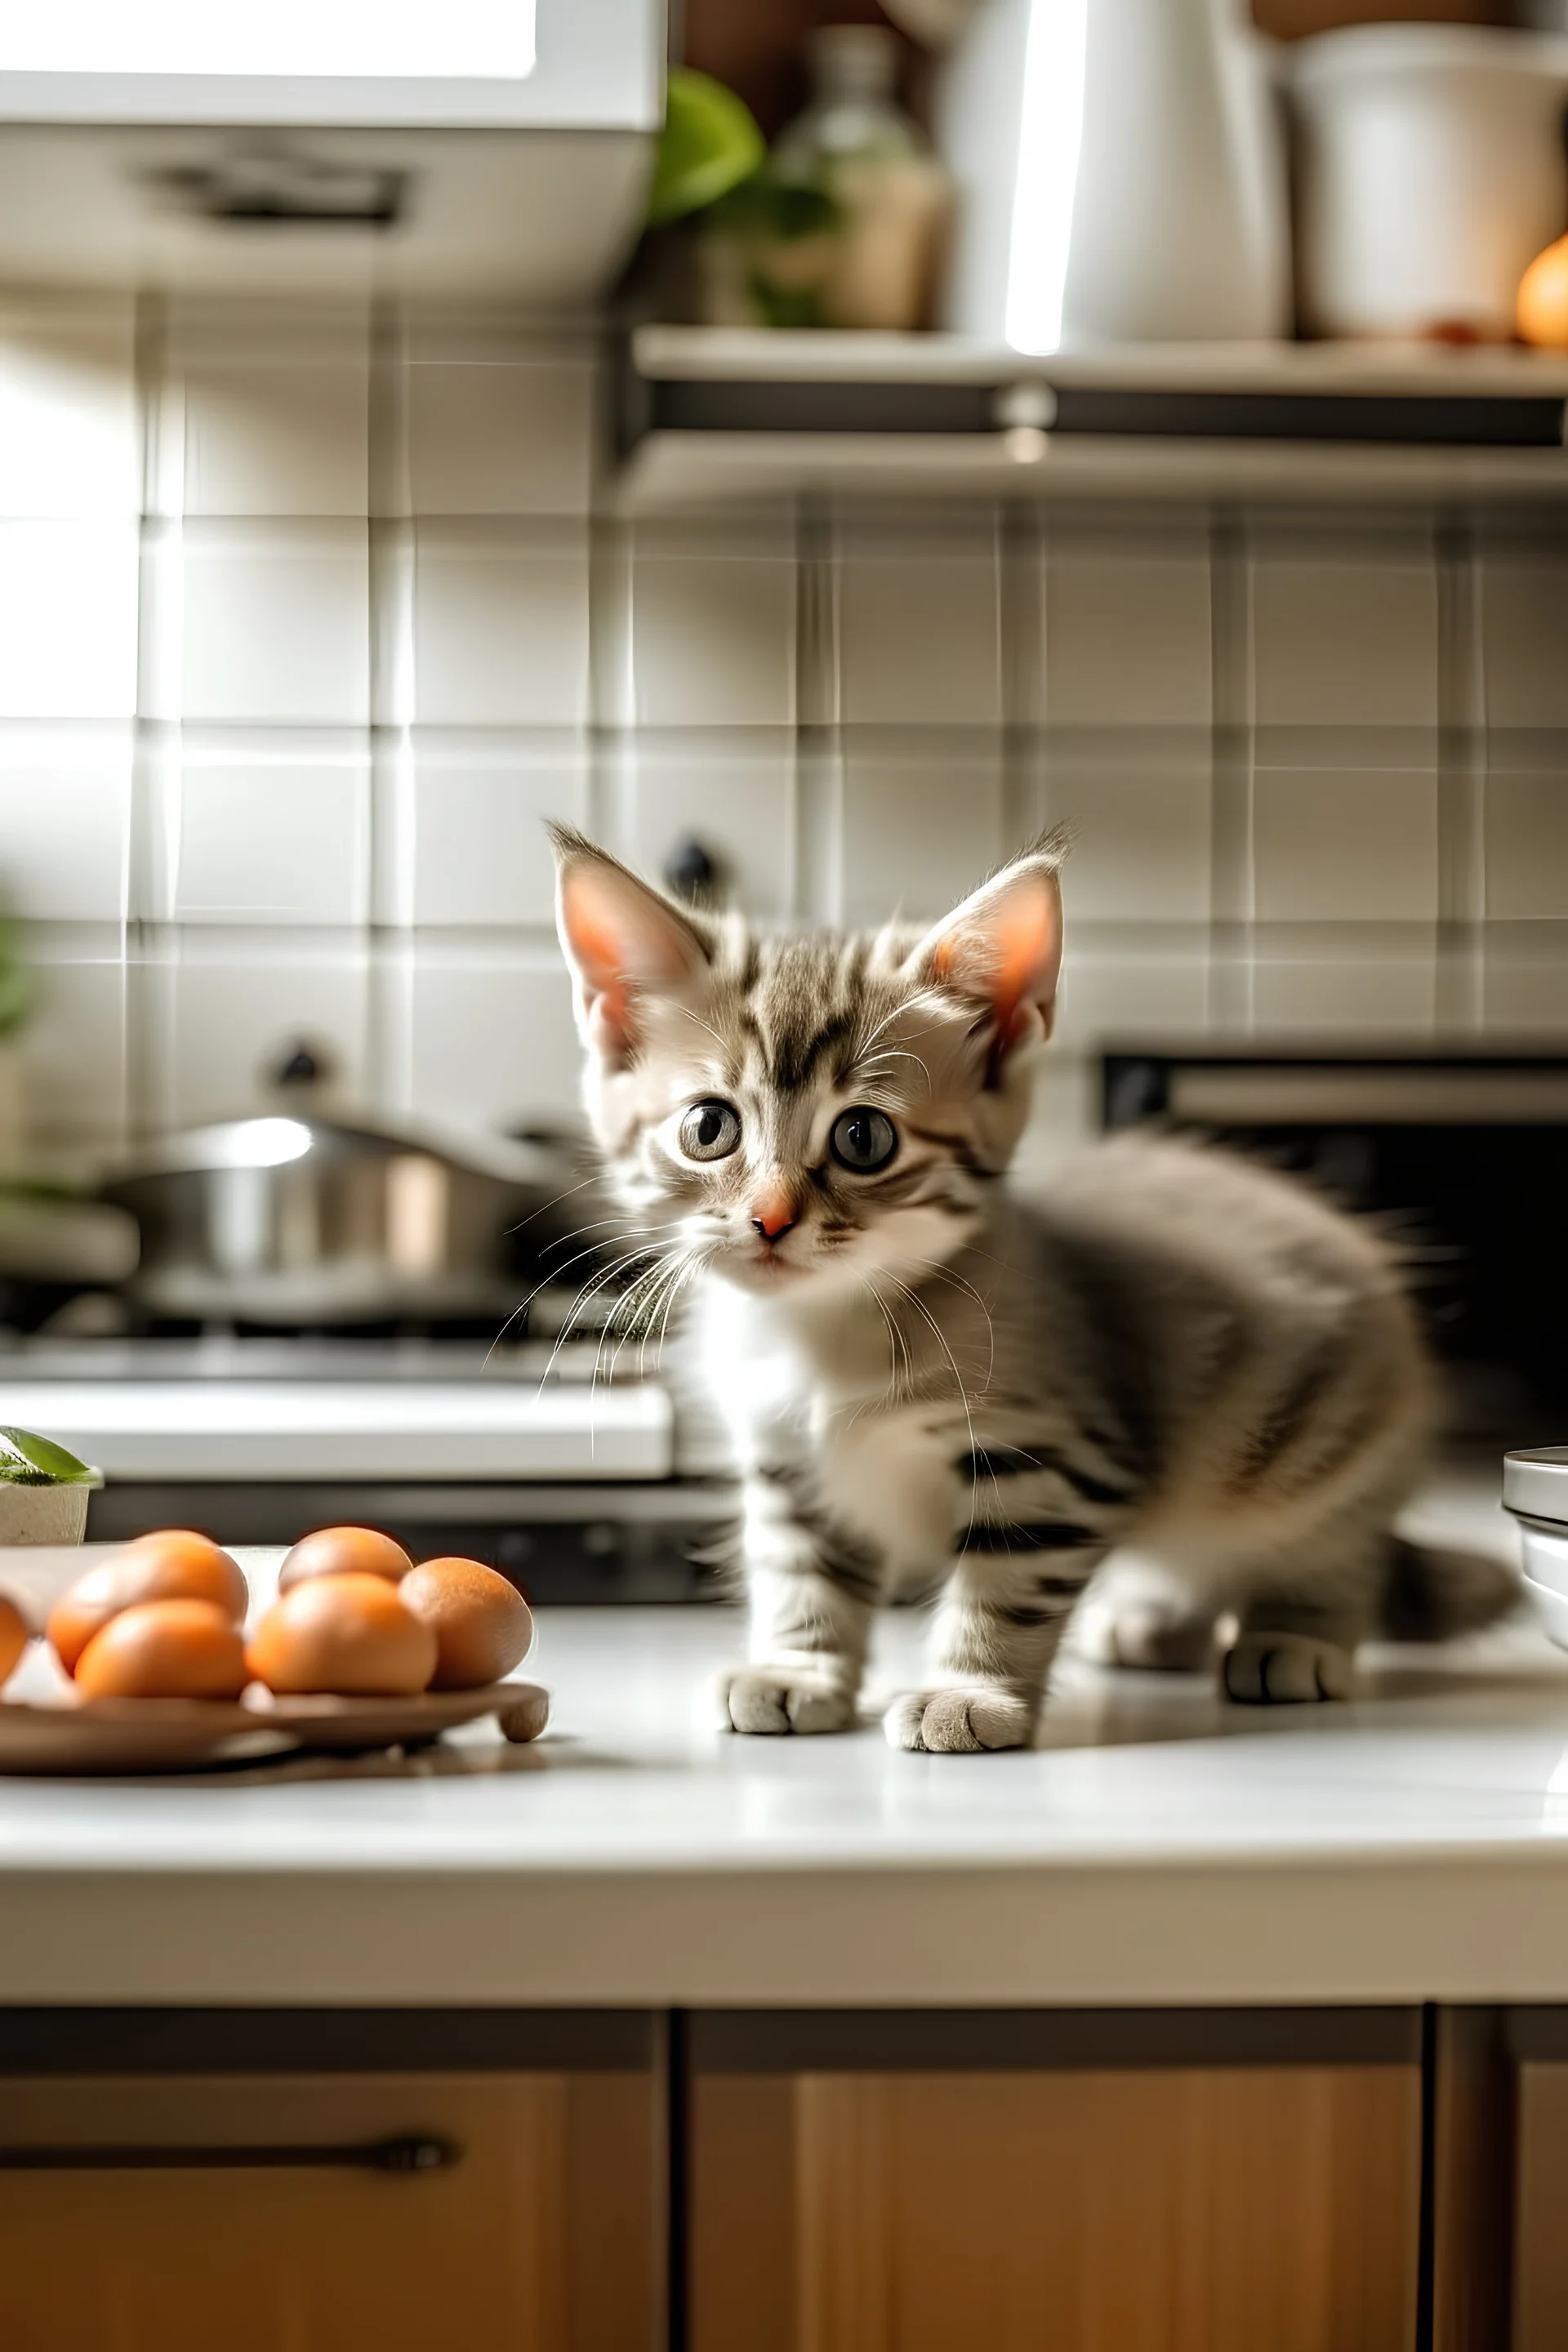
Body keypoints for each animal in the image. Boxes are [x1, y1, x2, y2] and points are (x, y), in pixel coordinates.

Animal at [555, 827, 1523, 1749]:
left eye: (863, 1139)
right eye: (708, 1128)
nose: (769, 1219)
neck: (824, 1332)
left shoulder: (1051, 1460)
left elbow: (1004, 1587)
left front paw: (968, 1695)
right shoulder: (790, 1465)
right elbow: (802, 1575)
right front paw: (799, 1673)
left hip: (1320, 1446)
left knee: (1330, 1547)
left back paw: (1295, 1638)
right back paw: (1155, 1625)